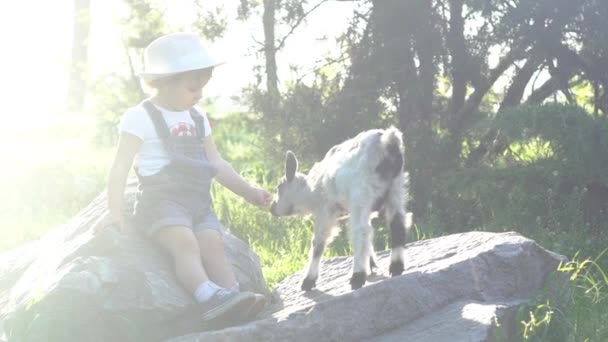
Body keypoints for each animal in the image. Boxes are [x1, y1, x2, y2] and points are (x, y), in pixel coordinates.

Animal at [270, 127, 408, 290]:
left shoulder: (325, 211)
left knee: (361, 231)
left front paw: (308, 281)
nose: (272, 208)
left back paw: (357, 277)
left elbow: (318, 244)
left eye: (279, 188)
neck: (311, 190)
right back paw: (396, 267)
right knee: (397, 224)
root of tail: (387, 141)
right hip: (396, 189)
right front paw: (371, 264)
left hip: (361, 193)